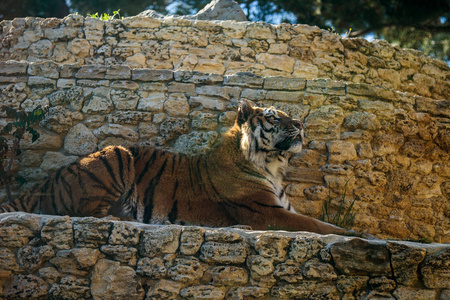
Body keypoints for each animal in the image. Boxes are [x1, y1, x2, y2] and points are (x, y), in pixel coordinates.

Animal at [0, 101, 352, 237]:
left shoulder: (282, 209)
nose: (301, 124)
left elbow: (320, 222)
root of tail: (43, 184)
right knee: (87, 213)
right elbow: (318, 225)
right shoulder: (268, 212)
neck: (273, 166)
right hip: (116, 154)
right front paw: (355, 234)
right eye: (274, 117)